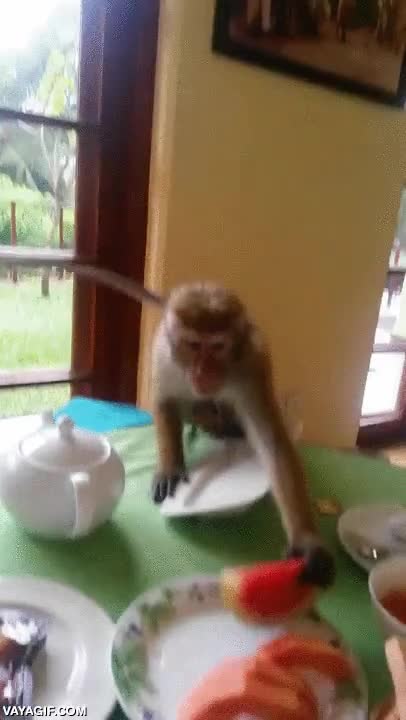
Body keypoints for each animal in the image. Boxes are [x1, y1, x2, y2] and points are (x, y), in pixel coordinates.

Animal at [4, 256, 335, 588]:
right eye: (193, 344)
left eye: (218, 346)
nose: (204, 372)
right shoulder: (164, 355)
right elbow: (164, 402)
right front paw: (171, 467)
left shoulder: (251, 365)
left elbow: (270, 439)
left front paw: (307, 541)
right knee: (192, 407)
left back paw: (227, 427)